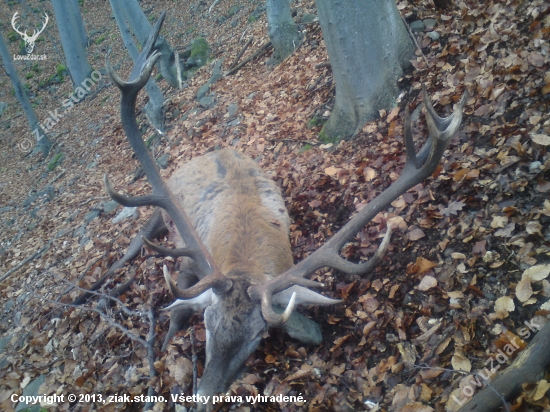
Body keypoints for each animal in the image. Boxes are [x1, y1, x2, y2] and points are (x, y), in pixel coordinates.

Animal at [76, 12, 466, 408]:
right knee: (136, 251)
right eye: (209, 324)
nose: (204, 396)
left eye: (257, 335)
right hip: (162, 222)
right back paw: (86, 294)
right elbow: (179, 307)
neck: (243, 258)